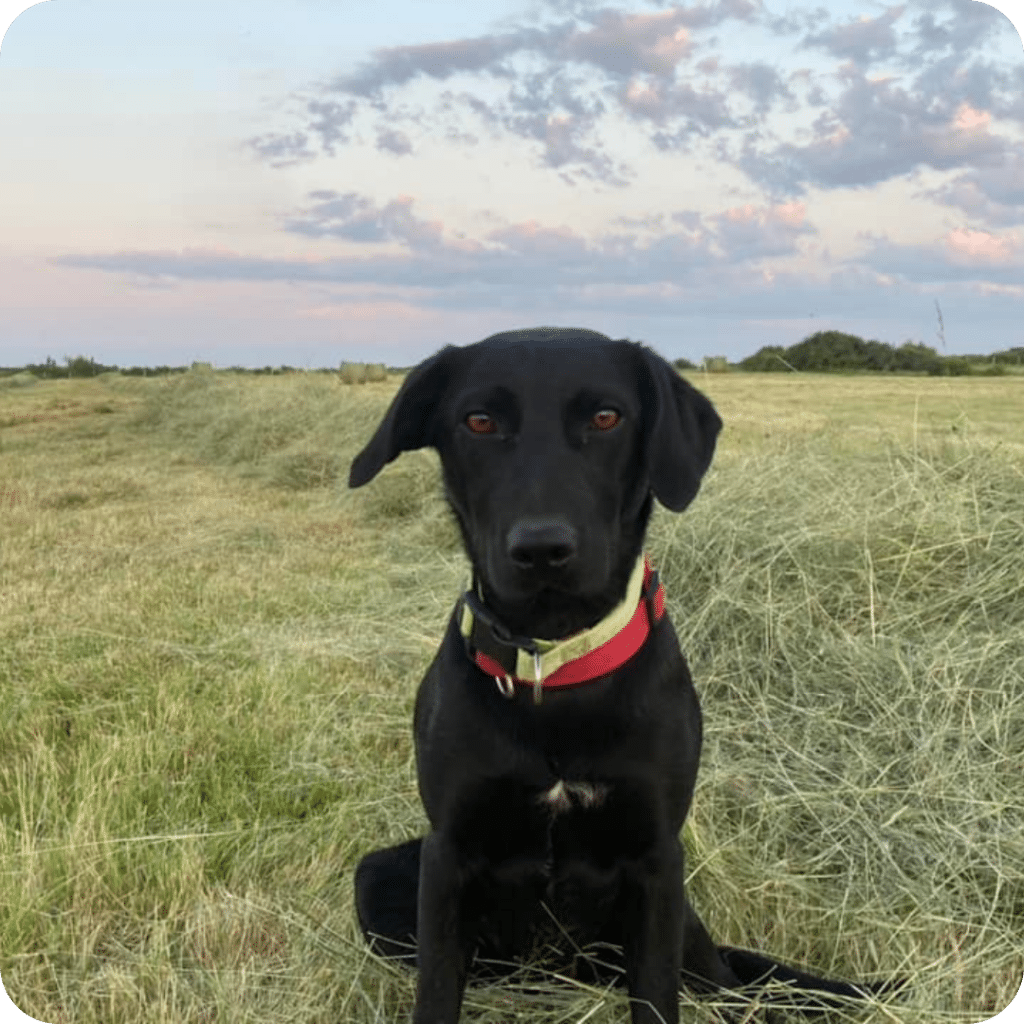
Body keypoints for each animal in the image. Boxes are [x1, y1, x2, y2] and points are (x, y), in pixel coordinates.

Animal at [348, 327, 892, 1024]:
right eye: (479, 420)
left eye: (607, 418)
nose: (542, 548)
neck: (554, 664)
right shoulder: (447, 855)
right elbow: (438, 991)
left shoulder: (656, 861)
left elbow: (656, 997)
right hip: (380, 874)